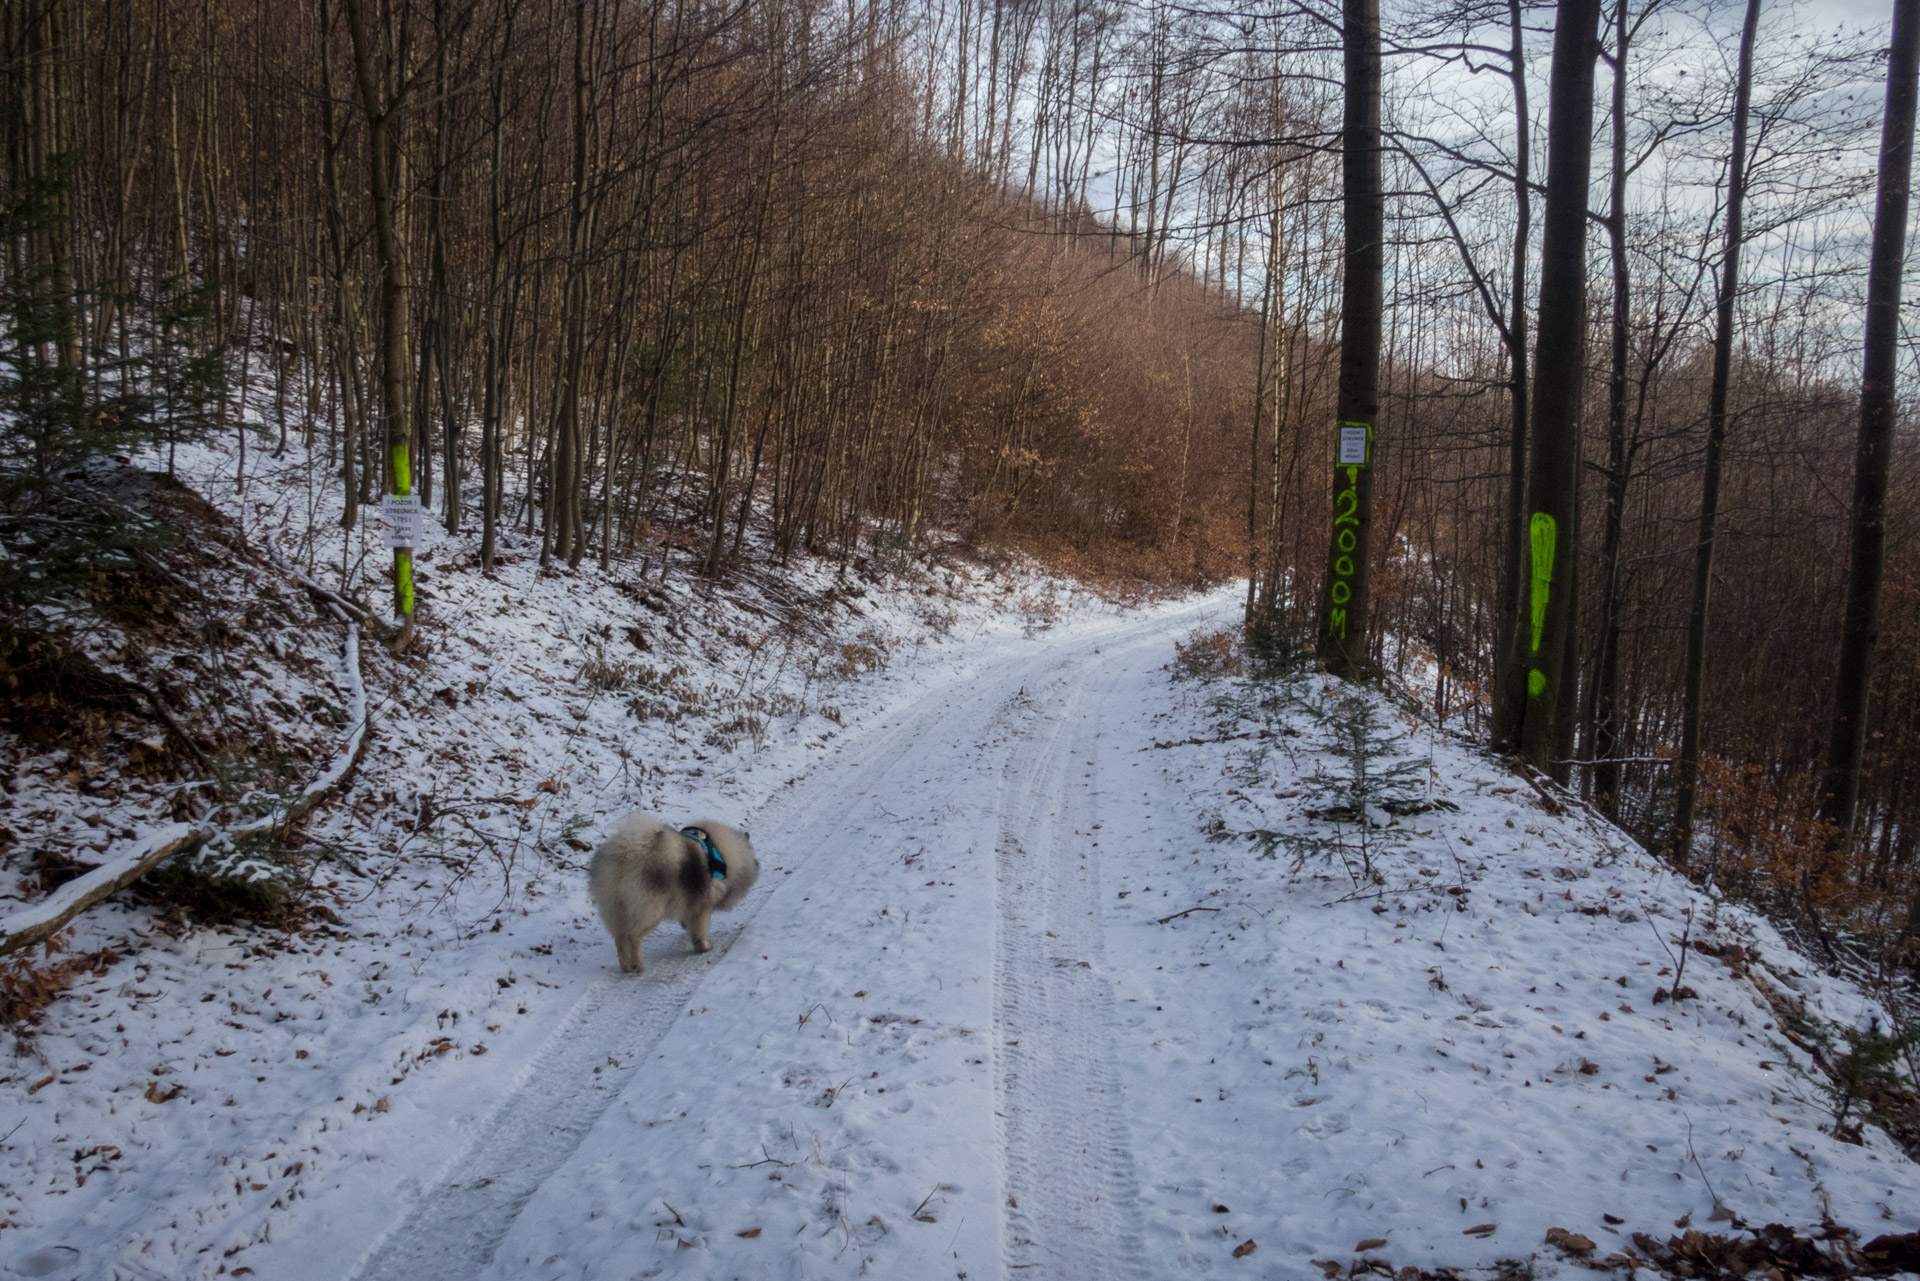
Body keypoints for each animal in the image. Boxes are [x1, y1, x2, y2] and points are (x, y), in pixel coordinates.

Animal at [587, 818, 760, 975]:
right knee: (633, 937)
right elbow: (699, 932)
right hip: (649, 911)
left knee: (620, 940)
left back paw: (626, 967)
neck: (720, 851)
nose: (757, 863)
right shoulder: (702, 907)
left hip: (616, 908)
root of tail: (627, 853)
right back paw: (637, 965)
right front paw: (703, 946)